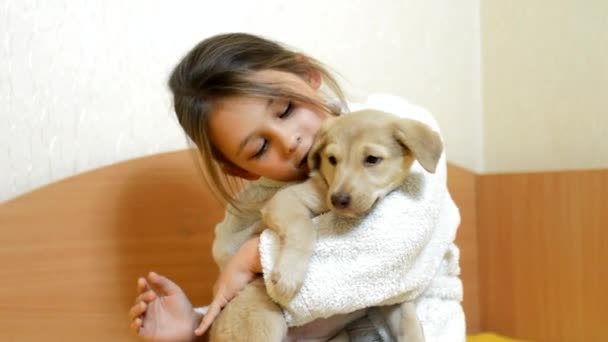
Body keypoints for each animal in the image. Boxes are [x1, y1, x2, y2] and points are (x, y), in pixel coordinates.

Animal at [258, 110, 442, 342]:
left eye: (372, 159)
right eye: (332, 159)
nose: (337, 200)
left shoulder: (391, 299)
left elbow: (409, 324)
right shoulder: (285, 199)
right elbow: (304, 227)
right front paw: (289, 274)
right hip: (266, 322)